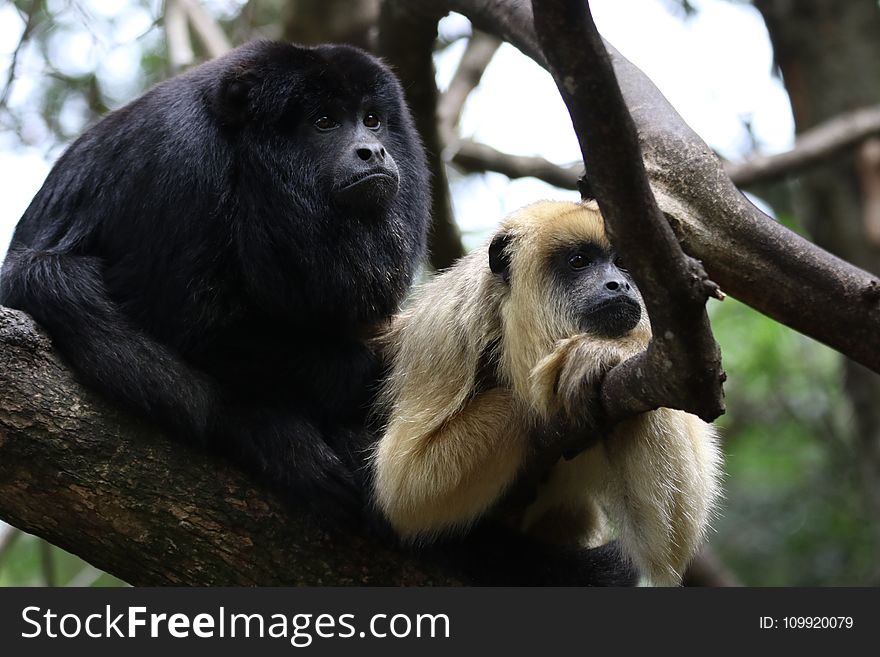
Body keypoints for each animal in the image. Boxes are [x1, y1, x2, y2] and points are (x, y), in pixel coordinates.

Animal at [372, 200, 720, 584]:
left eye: (622, 262)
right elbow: (407, 492)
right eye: (580, 261)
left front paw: (609, 351)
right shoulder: (444, 333)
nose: (620, 284)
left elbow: (669, 538)